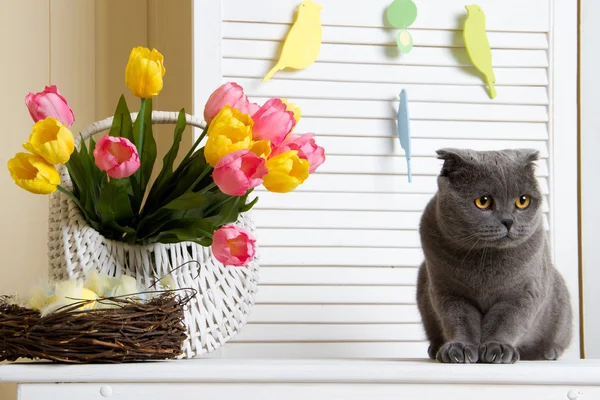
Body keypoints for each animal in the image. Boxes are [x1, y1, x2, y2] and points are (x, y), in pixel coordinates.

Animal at [418, 148, 572, 364]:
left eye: (522, 201)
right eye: (483, 202)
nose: (508, 221)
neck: (486, 258)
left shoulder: (522, 293)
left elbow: (505, 321)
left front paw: (497, 348)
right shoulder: (448, 292)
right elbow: (459, 320)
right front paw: (460, 349)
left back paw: (549, 352)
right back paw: (435, 349)